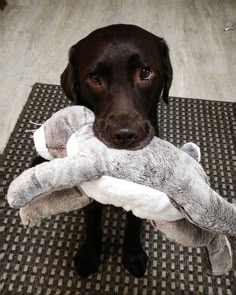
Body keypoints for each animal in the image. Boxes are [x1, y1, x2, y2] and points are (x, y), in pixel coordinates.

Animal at [58, 23, 171, 278]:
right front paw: (89, 254)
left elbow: (134, 223)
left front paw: (134, 254)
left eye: (145, 72)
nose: (125, 135)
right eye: (94, 78)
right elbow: (91, 221)